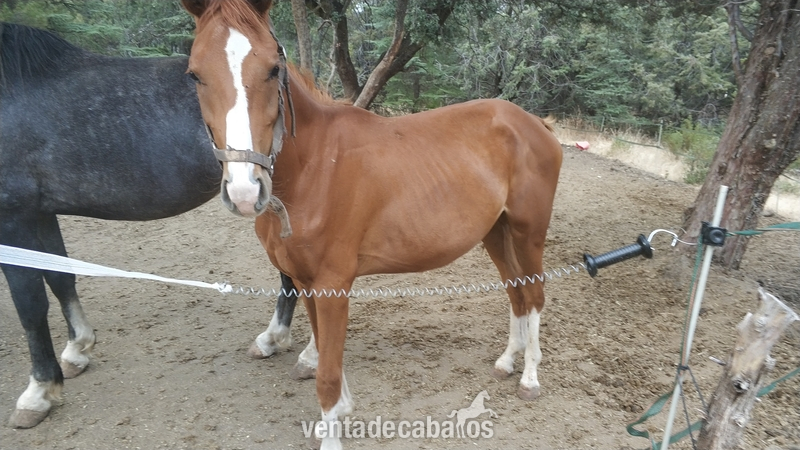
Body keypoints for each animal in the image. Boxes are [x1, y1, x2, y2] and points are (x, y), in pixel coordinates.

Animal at [0, 22, 299, 428]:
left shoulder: (13, 215)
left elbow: (30, 305)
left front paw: (38, 392)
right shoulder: (41, 211)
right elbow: (61, 278)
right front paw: (77, 349)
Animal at [182, 1, 563, 448]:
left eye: (273, 69)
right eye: (194, 74)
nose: (244, 190)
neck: (315, 166)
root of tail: (535, 123)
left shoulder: (332, 285)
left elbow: (327, 373)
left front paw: (331, 432)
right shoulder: (308, 282)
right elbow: (325, 353)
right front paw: (339, 411)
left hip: (527, 232)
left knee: (533, 295)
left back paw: (529, 378)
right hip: (496, 234)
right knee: (516, 294)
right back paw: (506, 362)